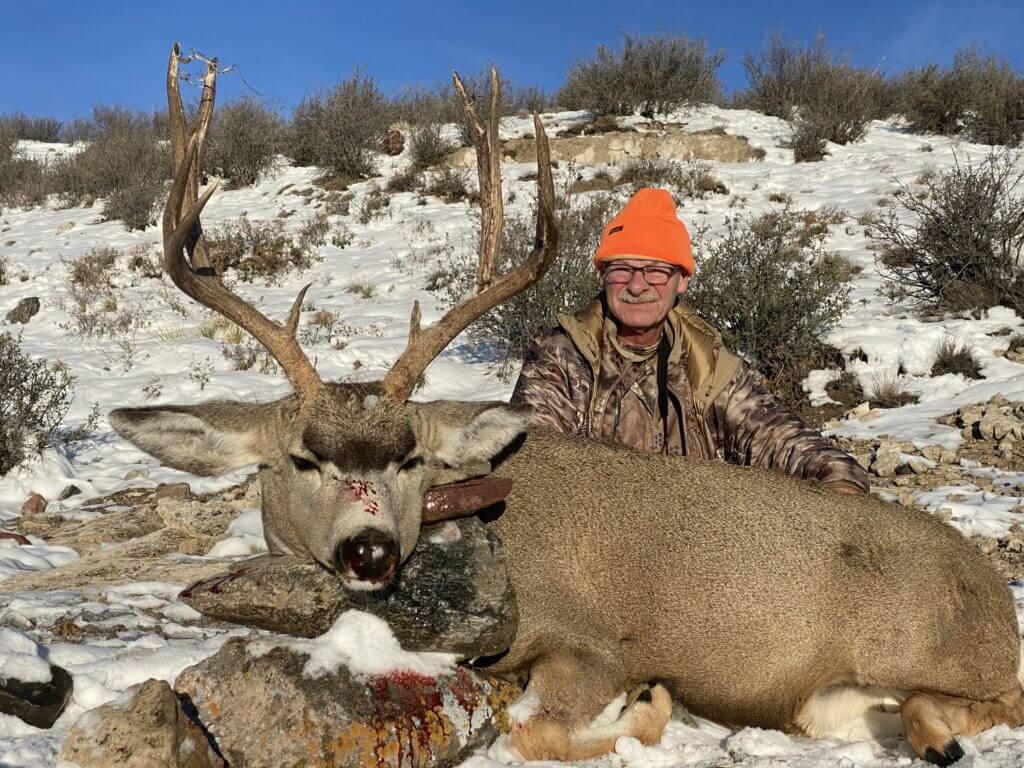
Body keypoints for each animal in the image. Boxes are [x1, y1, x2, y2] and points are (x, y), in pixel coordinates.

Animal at [109, 44, 1024, 767]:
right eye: (302, 457)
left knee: (986, 700)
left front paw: (651, 704)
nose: (370, 550)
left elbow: (538, 728)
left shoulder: (589, 645)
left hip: (926, 649)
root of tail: (996, 593)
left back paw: (937, 732)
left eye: (412, 456)